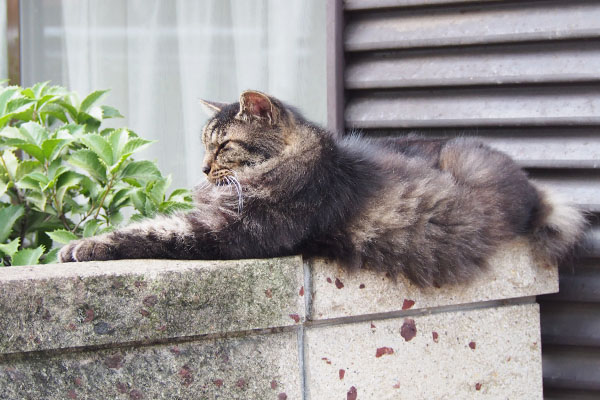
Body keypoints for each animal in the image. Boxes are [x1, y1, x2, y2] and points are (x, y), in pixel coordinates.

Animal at [59, 90, 584, 288]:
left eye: (224, 145)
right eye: (206, 144)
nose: (204, 169)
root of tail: (534, 188)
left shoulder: (227, 231)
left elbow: (148, 232)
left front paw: (79, 247)